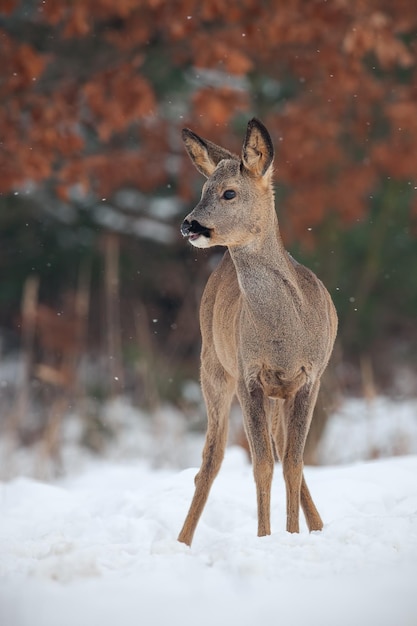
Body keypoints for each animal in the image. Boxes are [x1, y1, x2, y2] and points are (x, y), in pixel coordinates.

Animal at [177, 118, 336, 544]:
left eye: (229, 192)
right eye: (202, 190)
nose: (189, 224)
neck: (284, 336)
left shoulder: (310, 377)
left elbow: (293, 462)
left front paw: (292, 536)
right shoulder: (249, 375)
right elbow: (261, 463)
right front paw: (266, 538)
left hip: (278, 391)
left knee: (282, 448)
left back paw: (318, 526)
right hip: (213, 365)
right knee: (211, 458)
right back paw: (182, 541)